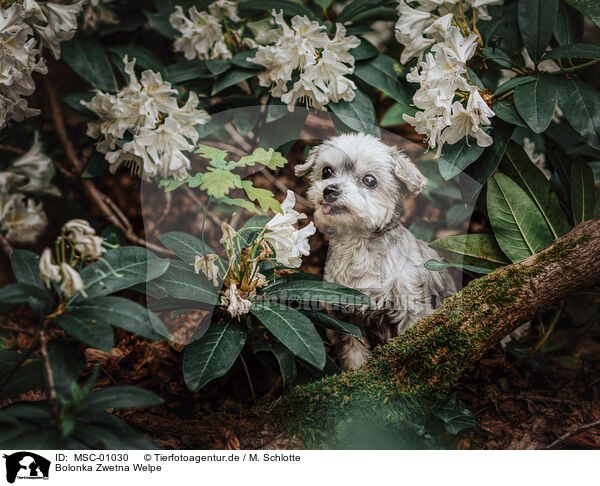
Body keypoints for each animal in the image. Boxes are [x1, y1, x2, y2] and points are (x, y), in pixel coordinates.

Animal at [298, 133, 458, 368]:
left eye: (369, 180)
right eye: (326, 171)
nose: (330, 190)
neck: (359, 247)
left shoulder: (412, 307)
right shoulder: (346, 317)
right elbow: (353, 352)